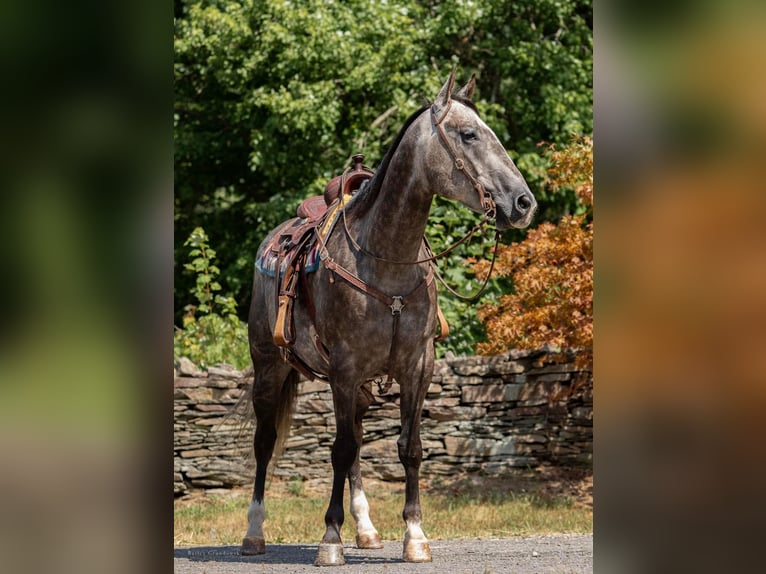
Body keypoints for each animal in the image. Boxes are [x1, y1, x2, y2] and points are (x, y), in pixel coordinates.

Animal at [243, 67, 536, 568]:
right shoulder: (344, 369)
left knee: (359, 443)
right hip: (269, 366)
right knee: (267, 444)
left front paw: (414, 536)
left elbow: (409, 449)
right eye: (469, 134)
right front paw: (330, 540)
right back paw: (254, 532)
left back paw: (365, 529)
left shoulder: (417, 367)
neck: (386, 257)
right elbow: (339, 450)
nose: (522, 203)